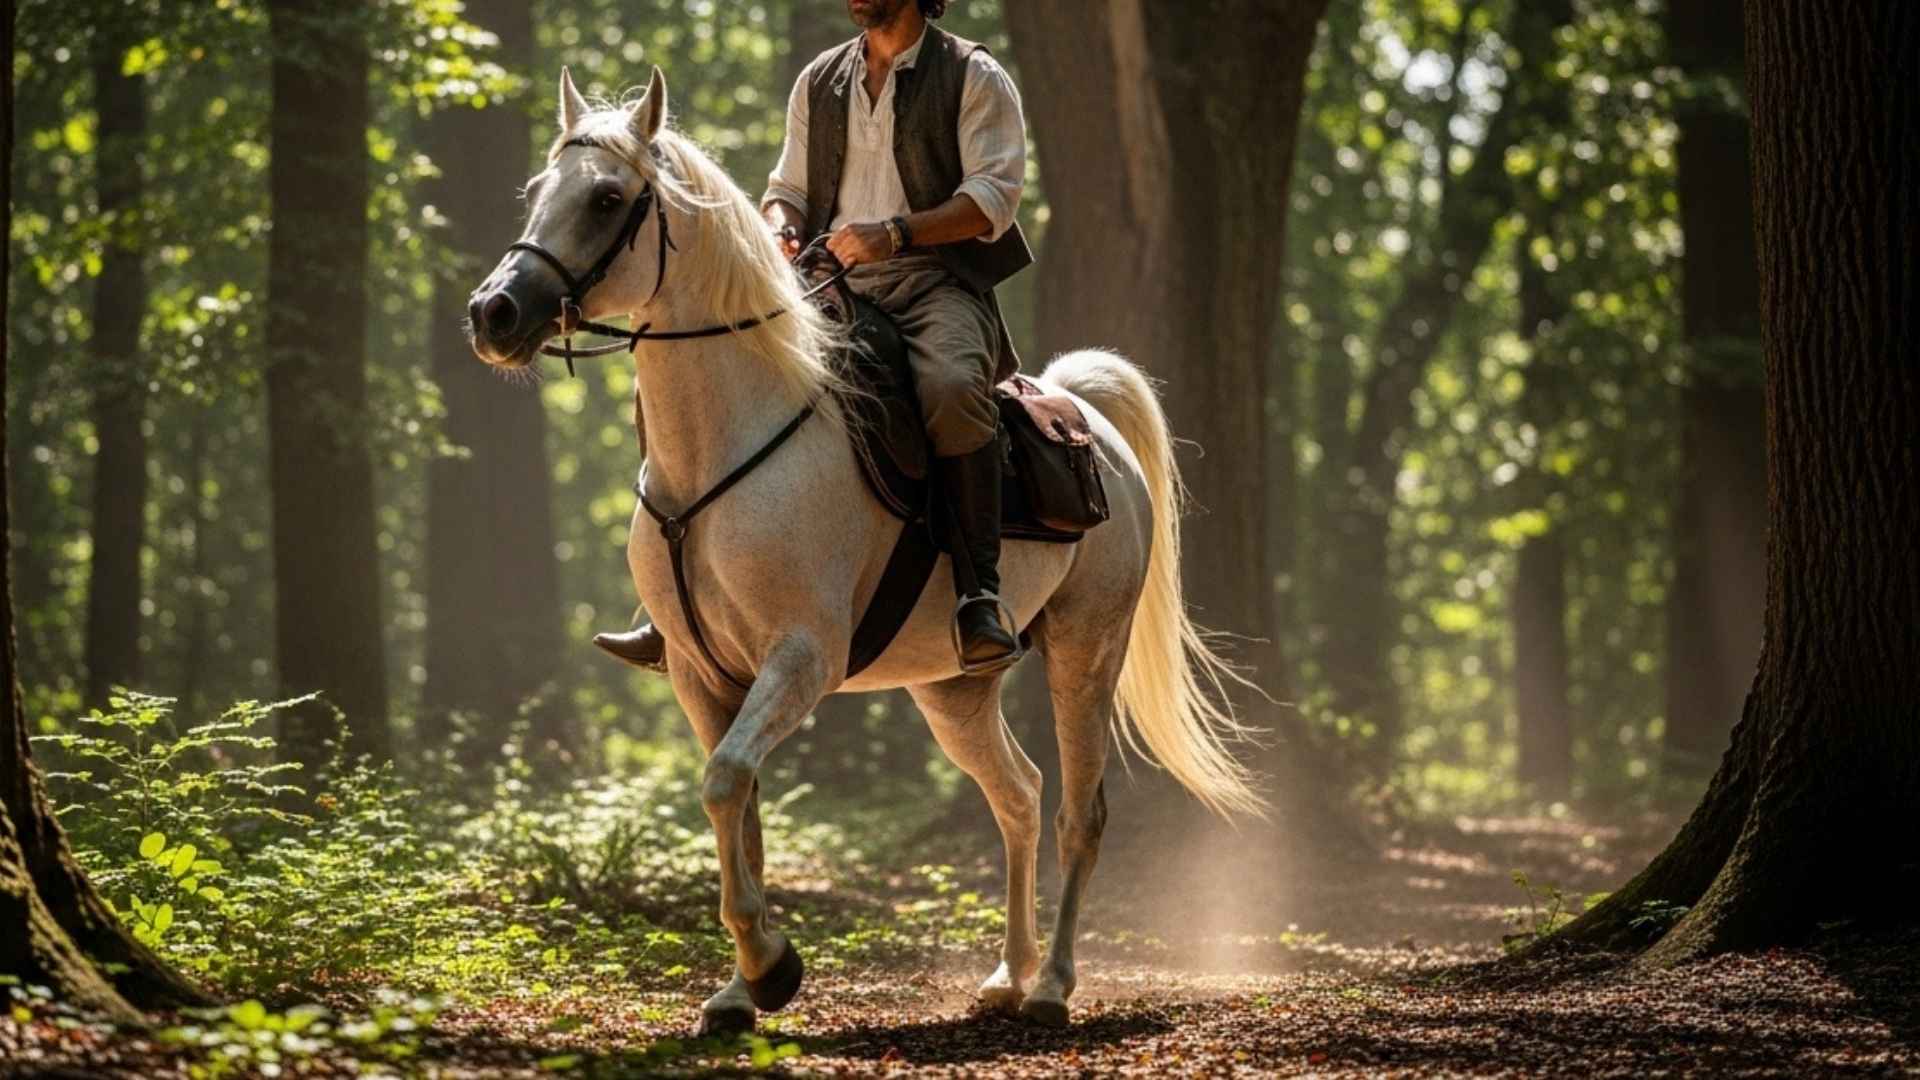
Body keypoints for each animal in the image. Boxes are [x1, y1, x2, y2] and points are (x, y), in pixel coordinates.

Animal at [465, 66, 1264, 1033]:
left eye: (609, 198)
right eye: (537, 190)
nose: (494, 312)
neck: (729, 441)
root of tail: (1087, 421)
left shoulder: (803, 658)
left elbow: (726, 782)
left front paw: (770, 966)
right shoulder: (700, 673)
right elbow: (738, 807)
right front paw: (742, 988)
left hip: (1087, 649)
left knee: (1081, 810)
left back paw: (1050, 986)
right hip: (953, 688)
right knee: (1019, 795)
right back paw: (1006, 974)